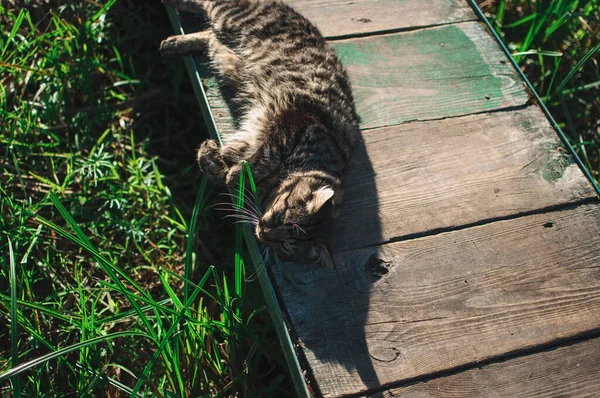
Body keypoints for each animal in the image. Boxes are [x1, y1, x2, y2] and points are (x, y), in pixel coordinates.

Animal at [159, 0, 358, 268]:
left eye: (285, 245)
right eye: (282, 217)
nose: (263, 233)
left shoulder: (252, 138)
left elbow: (222, 163)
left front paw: (214, 158)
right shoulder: (290, 127)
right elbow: (255, 162)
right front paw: (232, 173)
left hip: (223, 32)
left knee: (210, 35)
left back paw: (173, 44)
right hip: (230, 15)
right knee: (204, 7)